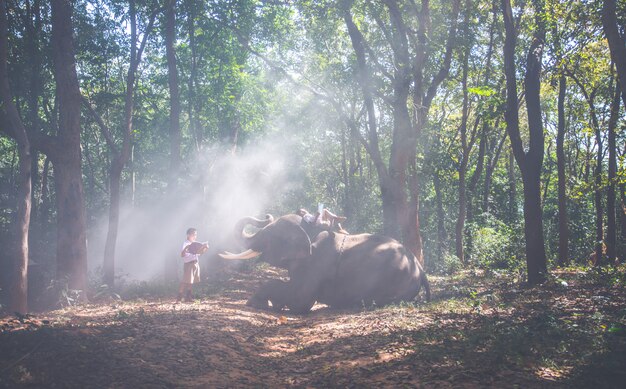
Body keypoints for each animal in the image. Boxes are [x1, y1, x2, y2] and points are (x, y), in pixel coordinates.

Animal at [219, 212, 428, 312]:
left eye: (269, 234)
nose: (266, 215)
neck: (311, 230)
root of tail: (420, 268)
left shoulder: (317, 263)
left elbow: (300, 301)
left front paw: (256, 304)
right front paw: (275, 304)